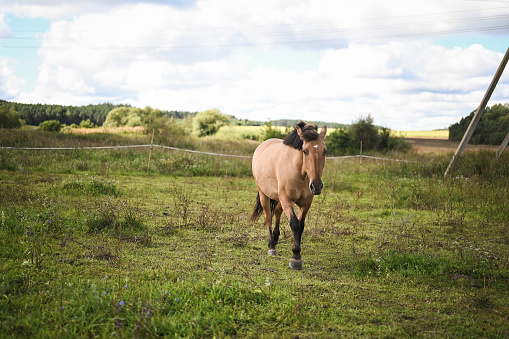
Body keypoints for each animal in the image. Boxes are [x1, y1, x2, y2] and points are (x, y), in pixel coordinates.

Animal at [249, 122, 328, 270]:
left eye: (324, 151)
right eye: (305, 151)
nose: (316, 186)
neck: (299, 172)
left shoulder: (306, 203)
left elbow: (301, 226)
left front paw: (297, 252)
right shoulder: (286, 199)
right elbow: (294, 224)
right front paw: (296, 258)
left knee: (277, 212)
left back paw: (275, 238)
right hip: (264, 194)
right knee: (268, 216)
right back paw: (271, 246)